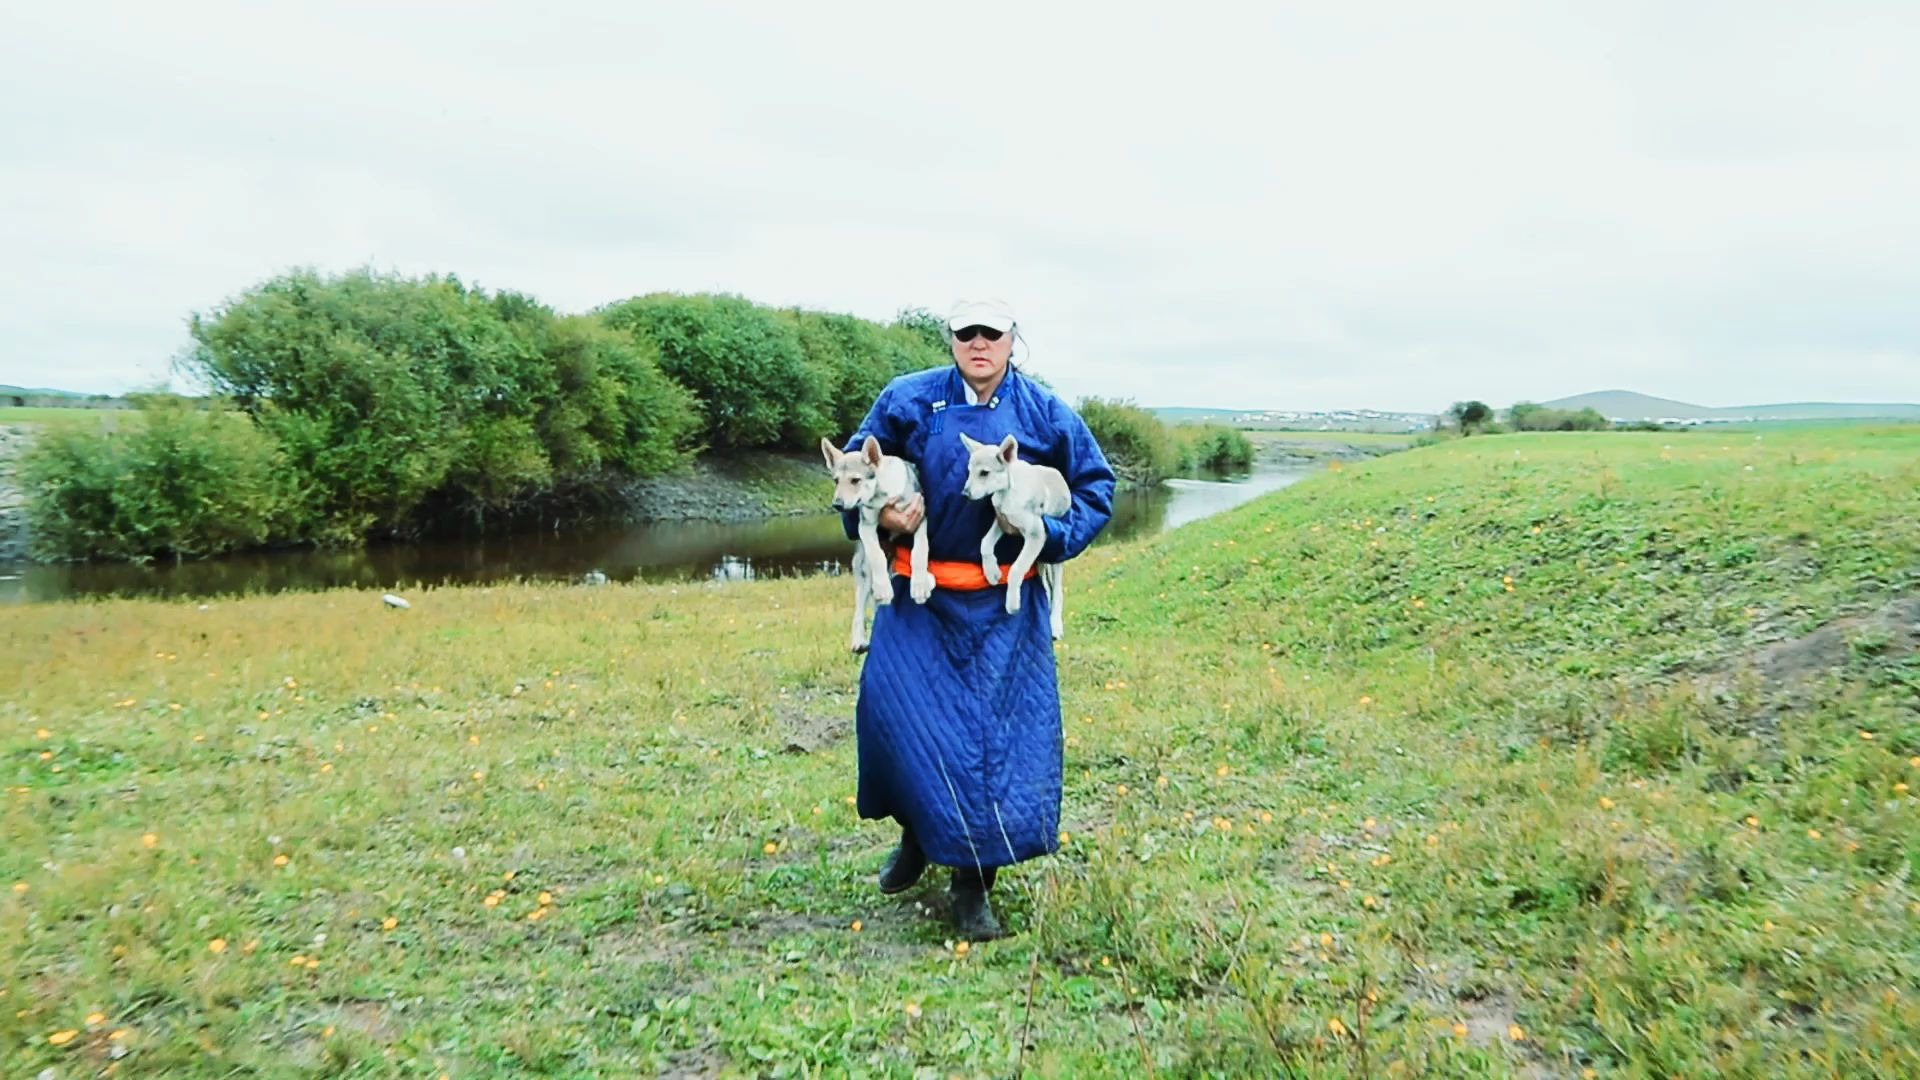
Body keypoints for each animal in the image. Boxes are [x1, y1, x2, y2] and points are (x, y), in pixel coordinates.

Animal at [817, 434, 929, 653]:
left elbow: (920, 552)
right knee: (861, 608)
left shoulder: (919, 518)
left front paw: (919, 586)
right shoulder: (866, 525)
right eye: (836, 481)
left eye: (855, 480)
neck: (882, 496)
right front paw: (884, 589)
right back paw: (859, 640)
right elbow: (876, 555)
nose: (837, 505)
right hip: (863, 572)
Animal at [967, 428, 1075, 634]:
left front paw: (1012, 603)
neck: (1007, 493)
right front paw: (992, 571)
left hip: (1056, 558)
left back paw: (1055, 624)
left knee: (1057, 590)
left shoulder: (1036, 534)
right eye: (968, 471)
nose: (965, 492)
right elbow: (985, 543)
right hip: (1040, 560)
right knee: (1046, 585)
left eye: (984, 473)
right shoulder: (1002, 521)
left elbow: (1016, 569)